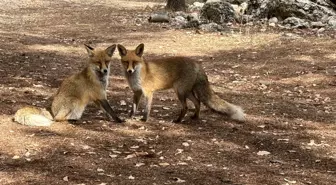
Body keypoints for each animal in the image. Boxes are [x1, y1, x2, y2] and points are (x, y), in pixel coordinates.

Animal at [116, 43, 244, 123]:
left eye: (134, 62)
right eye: (126, 62)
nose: (130, 71)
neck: (137, 76)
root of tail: (197, 64)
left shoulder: (148, 93)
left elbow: (146, 109)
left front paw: (144, 119)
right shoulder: (137, 92)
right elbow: (133, 108)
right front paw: (130, 117)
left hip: (180, 92)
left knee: (186, 107)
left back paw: (178, 121)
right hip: (186, 92)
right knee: (197, 102)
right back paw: (195, 117)